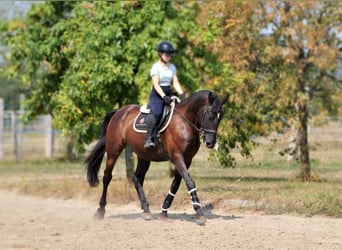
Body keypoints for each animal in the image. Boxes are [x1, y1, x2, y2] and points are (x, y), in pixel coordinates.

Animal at [84, 90, 227, 225]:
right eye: (210, 116)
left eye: (220, 118)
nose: (210, 143)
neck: (184, 122)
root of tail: (119, 111)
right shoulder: (177, 158)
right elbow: (189, 182)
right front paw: (199, 213)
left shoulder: (187, 159)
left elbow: (175, 184)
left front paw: (164, 212)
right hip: (114, 150)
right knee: (107, 177)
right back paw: (100, 211)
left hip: (144, 155)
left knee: (137, 178)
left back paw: (146, 210)